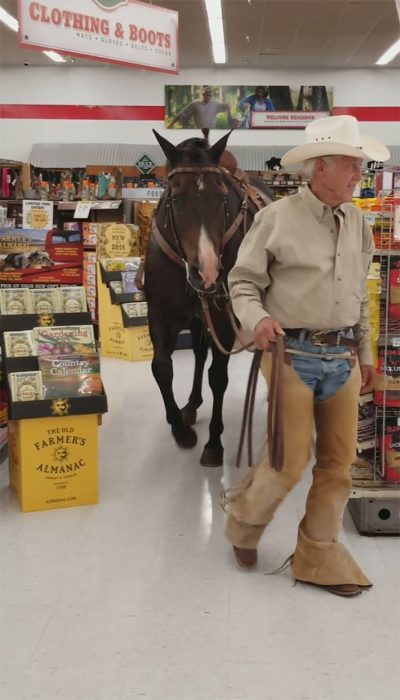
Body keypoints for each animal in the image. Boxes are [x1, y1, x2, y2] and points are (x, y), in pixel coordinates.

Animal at [143, 130, 272, 470]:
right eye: (175, 199)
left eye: (221, 198)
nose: (208, 272)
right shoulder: (159, 313)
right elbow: (162, 367)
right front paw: (179, 428)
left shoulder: (224, 318)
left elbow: (219, 377)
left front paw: (214, 443)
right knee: (199, 354)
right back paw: (191, 404)